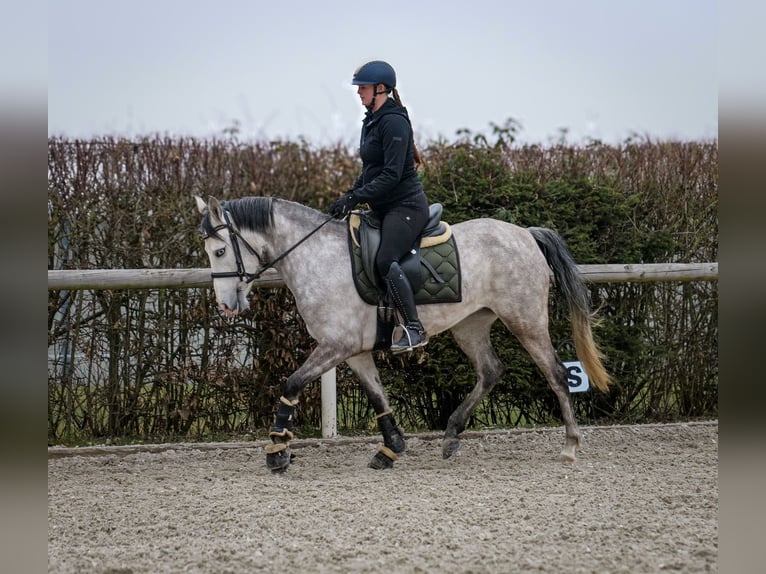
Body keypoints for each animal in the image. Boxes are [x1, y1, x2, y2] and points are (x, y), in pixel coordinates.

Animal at [196, 194, 612, 472]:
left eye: (219, 251)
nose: (226, 305)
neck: (317, 257)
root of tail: (526, 234)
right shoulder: (354, 351)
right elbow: (378, 396)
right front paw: (391, 448)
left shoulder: (335, 346)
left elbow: (292, 383)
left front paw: (278, 450)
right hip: (470, 325)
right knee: (491, 370)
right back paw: (451, 434)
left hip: (526, 320)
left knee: (557, 374)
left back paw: (570, 446)